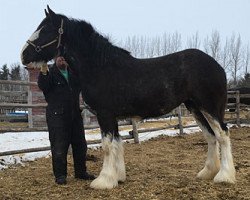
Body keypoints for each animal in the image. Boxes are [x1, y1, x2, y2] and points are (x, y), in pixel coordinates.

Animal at [20, 5, 235, 188]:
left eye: (45, 30)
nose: (23, 55)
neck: (100, 67)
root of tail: (217, 66)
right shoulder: (112, 116)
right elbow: (117, 143)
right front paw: (117, 177)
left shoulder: (105, 114)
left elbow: (107, 145)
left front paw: (103, 181)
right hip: (195, 107)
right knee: (210, 136)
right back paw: (207, 172)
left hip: (209, 107)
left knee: (222, 134)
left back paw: (225, 176)